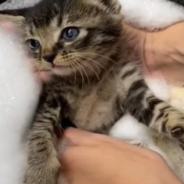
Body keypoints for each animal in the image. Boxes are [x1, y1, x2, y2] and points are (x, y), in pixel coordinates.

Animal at [0, 0, 184, 183]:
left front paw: (178, 124)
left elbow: (160, 110)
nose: (47, 57)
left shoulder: (131, 86)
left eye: (70, 33)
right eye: (34, 43)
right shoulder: (51, 98)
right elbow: (40, 129)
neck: (92, 75)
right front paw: (40, 172)